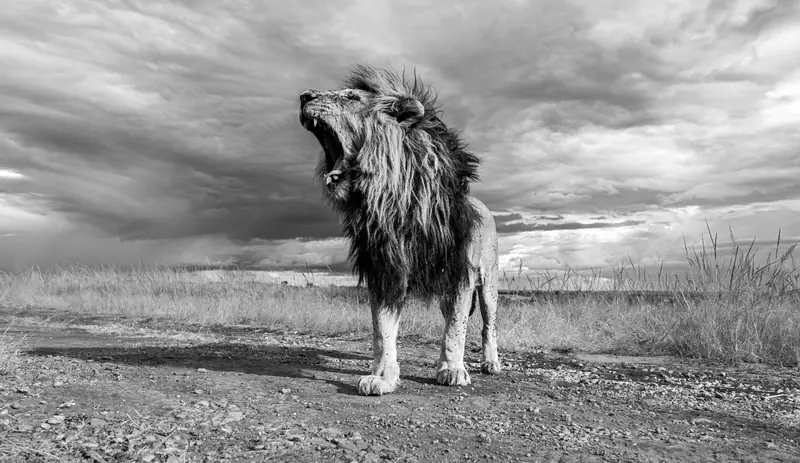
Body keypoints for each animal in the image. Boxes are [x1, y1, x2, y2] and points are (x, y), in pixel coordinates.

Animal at [298, 65, 500, 396]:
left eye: (352, 98)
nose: (304, 96)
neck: (397, 198)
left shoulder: (460, 270)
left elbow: (456, 327)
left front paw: (452, 369)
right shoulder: (384, 268)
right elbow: (382, 330)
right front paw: (382, 377)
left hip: (488, 284)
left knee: (487, 325)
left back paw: (491, 362)